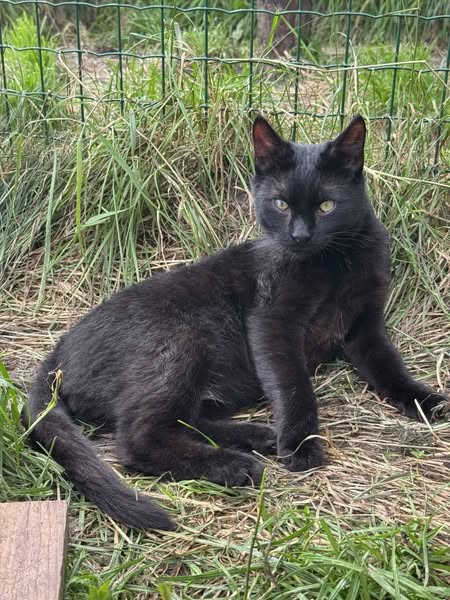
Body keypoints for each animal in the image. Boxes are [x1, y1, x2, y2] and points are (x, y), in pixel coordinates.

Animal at [24, 115, 448, 530]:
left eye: (328, 205)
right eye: (281, 204)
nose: (299, 236)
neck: (334, 263)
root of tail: (57, 355)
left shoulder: (366, 325)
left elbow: (391, 369)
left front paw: (428, 401)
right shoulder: (272, 321)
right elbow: (294, 385)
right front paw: (301, 444)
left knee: (184, 418)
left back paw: (256, 436)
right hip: (181, 342)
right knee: (138, 439)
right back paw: (234, 464)